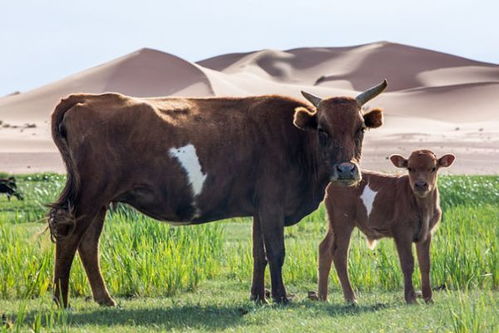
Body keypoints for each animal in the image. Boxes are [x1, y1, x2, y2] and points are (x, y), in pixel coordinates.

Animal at [49, 80, 386, 306]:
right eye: (323, 130)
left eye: (360, 129)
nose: (347, 170)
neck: (296, 139)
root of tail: (86, 98)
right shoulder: (272, 205)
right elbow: (276, 252)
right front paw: (280, 297)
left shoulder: (258, 208)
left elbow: (259, 253)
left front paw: (258, 296)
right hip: (89, 197)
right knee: (70, 237)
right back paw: (61, 299)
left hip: (100, 201)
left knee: (88, 244)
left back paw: (104, 298)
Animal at [318, 150, 456, 304]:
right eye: (410, 168)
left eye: (433, 168)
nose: (420, 185)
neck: (423, 207)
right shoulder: (402, 232)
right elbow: (408, 263)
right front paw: (411, 298)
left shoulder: (426, 233)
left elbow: (425, 264)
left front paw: (428, 298)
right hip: (343, 221)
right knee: (340, 254)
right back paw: (350, 297)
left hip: (334, 223)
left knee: (325, 248)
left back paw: (322, 297)